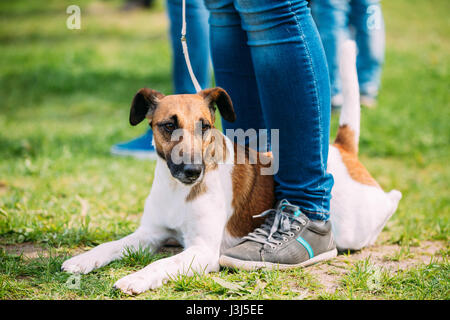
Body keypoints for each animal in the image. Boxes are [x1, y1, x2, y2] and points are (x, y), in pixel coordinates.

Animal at [60, 40, 400, 296]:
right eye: (168, 126)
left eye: (205, 126)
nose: (193, 172)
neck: (178, 191)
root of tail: (341, 149)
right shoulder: (150, 233)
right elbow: (111, 245)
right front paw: (83, 259)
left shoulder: (202, 250)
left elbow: (161, 264)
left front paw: (137, 277)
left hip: (355, 227)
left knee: (389, 202)